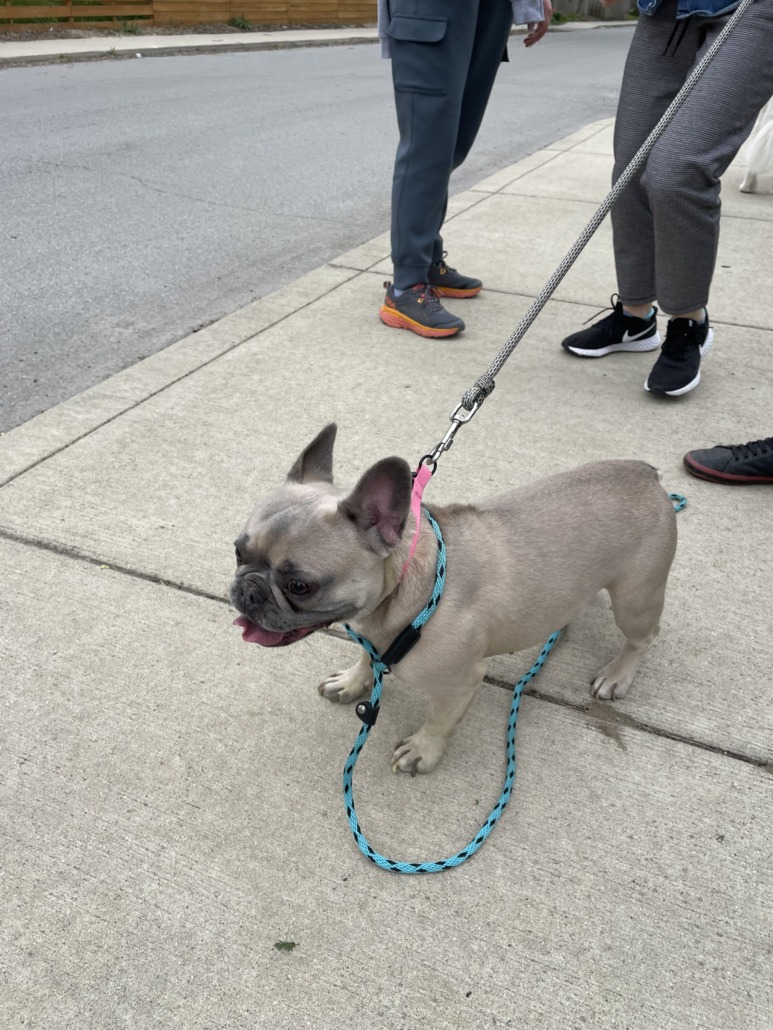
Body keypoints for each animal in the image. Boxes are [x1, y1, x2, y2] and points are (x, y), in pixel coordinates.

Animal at [230, 424, 677, 775]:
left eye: (299, 586)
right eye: (237, 551)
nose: (247, 590)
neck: (407, 593)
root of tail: (646, 473)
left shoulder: (460, 684)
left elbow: (439, 721)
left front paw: (422, 751)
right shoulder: (370, 636)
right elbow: (365, 658)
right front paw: (353, 681)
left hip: (635, 599)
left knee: (644, 636)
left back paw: (618, 674)